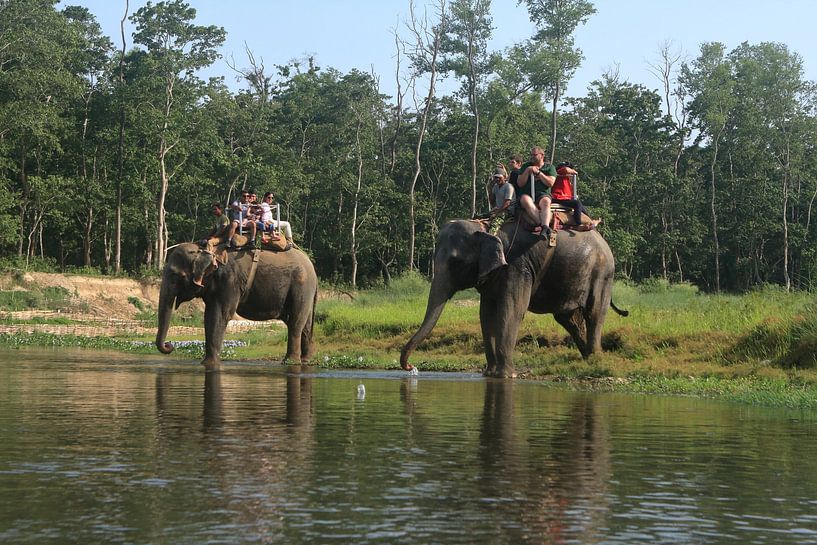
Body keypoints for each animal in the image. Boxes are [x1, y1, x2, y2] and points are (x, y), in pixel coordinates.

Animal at [156, 242, 318, 369]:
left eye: (175, 276)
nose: (169, 345)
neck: (205, 248)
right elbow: (209, 315)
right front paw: (205, 364)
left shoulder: (229, 280)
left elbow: (220, 315)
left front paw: (210, 364)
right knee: (305, 325)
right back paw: (305, 360)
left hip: (301, 285)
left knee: (295, 323)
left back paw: (290, 362)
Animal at [401, 219, 627, 378]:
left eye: (456, 262)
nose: (411, 367)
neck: (486, 228)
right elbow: (486, 314)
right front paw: (489, 374)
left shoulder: (517, 266)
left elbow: (511, 309)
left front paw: (507, 376)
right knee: (569, 319)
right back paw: (588, 358)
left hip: (602, 273)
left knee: (594, 313)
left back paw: (596, 360)